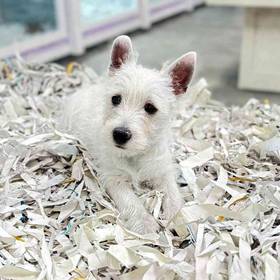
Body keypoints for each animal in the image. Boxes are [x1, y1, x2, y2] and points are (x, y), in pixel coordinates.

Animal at [62, 35, 196, 234]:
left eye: (150, 108)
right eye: (116, 99)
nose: (120, 134)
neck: (136, 154)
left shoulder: (162, 171)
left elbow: (172, 194)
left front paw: (180, 218)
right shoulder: (114, 178)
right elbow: (131, 201)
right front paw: (146, 224)